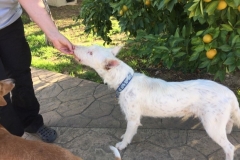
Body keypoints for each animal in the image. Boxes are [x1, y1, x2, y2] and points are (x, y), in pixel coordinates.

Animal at [74, 44, 239, 159]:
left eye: (90, 53)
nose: (74, 47)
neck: (125, 81)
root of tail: (230, 92)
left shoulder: (133, 120)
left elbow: (128, 134)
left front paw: (122, 145)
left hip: (212, 125)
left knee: (230, 147)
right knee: (230, 122)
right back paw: (228, 130)